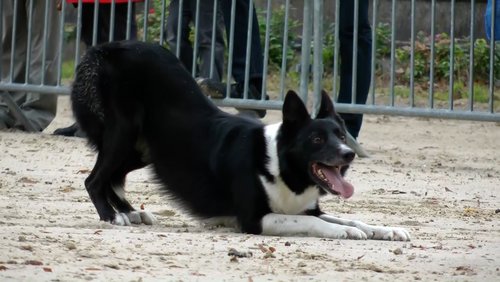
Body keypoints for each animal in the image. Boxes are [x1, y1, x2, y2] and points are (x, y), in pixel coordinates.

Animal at [71, 40, 410, 241]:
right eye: (316, 138)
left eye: (341, 135)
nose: (347, 154)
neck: (280, 166)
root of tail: (109, 47)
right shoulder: (254, 220)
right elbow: (319, 224)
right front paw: (343, 233)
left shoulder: (305, 209)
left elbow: (353, 220)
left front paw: (386, 229)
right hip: (123, 134)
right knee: (94, 179)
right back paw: (112, 216)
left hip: (142, 149)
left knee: (111, 178)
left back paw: (130, 211)